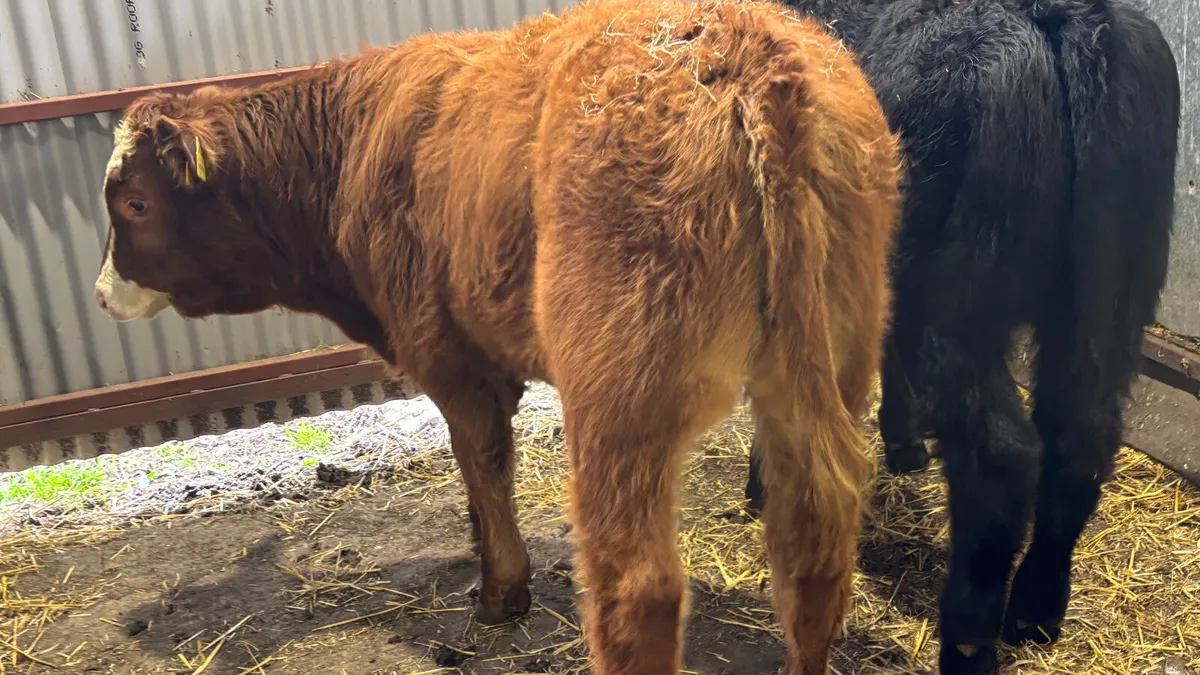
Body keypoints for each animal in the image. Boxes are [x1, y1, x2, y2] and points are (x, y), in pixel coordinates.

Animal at [91, 1, 903, 673]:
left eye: (136, 203)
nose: (99, 295)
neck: (351, 150)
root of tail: (749, 49)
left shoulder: (451, 359)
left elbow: (482, 465)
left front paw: (500, 592)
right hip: (829, 361)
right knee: (814, 535)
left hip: (619, 395)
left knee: (639, 585)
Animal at [740, 0, 1181, 673]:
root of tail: (1066, 17)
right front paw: (901, 446)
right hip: (1111, 296)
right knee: (1082, 430)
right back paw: (1035, 610)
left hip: (954, 298)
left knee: (1000, 455)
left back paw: (969, 640)